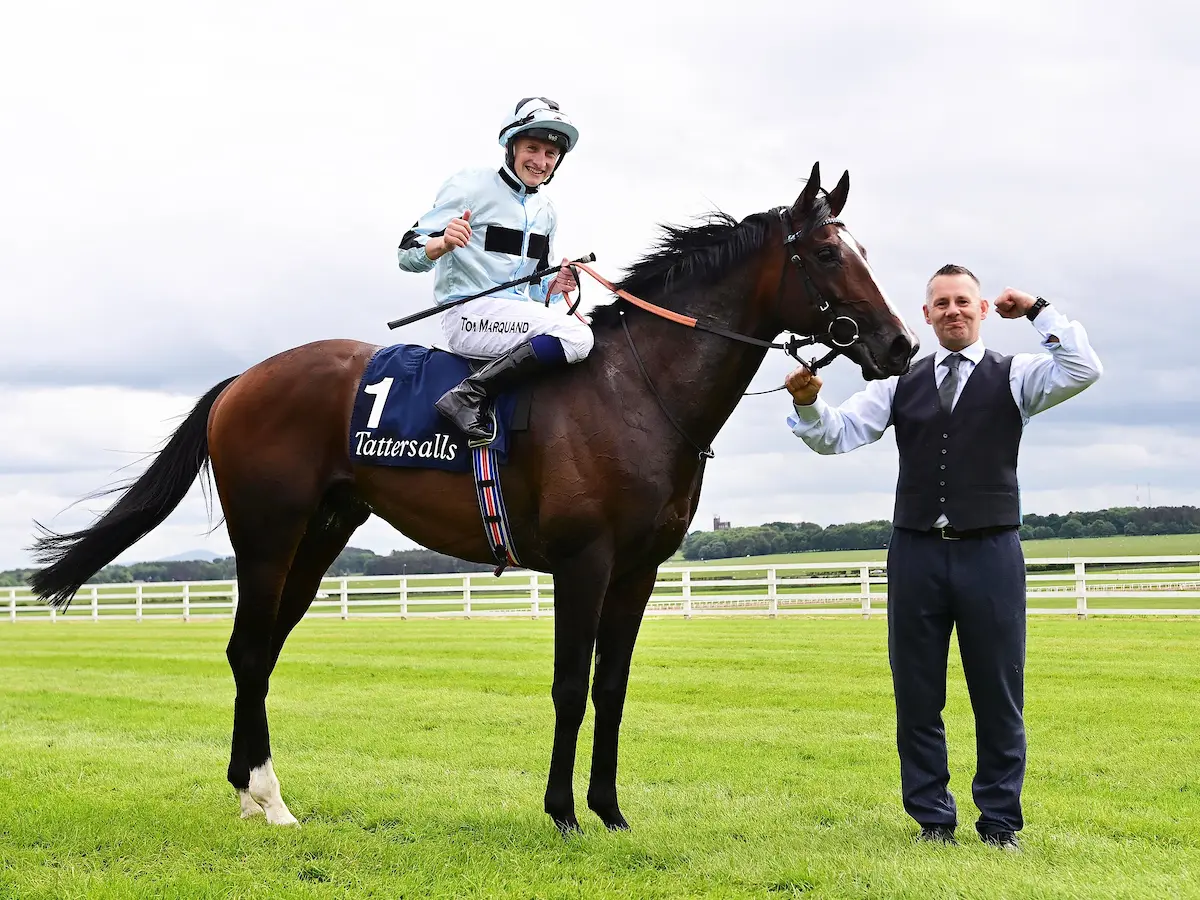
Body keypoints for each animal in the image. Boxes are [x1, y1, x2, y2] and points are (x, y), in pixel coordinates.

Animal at [30, 162, 918, 834]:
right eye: (829, 254)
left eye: (864, 248)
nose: (900, 344)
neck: (636, 390)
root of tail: (243, 379)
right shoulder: (585, 563)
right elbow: (569, 687)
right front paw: (563, 813)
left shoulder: (638, 572)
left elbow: (612, 690)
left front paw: (611, 811)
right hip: (269, 535)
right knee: (249, 650)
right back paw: (269, 799)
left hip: (319, 538)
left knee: (264, 651)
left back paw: (249, 789)